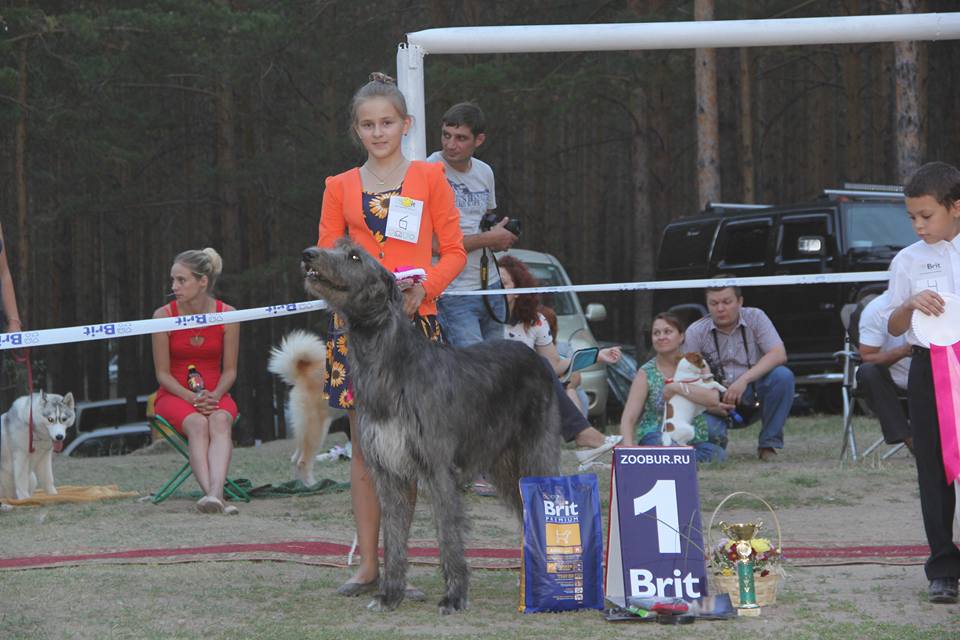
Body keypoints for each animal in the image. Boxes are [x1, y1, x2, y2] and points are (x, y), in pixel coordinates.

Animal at [266, 330, 334, 484]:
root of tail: (303, 372)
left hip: (309, 428)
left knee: (296, 459)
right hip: (315, 431)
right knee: (302, 462)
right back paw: (313, 485)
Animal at [300, 241, 564, 616]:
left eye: (354, 256)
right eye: (335, 244)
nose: (309, 253)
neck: (392, 367)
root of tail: (534, 356)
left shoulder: (438, 469)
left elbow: (448, 535)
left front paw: (454, 595)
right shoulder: (387, 471)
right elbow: (392, 536)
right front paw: (390, 593)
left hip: (536, 452)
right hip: (503, 465)